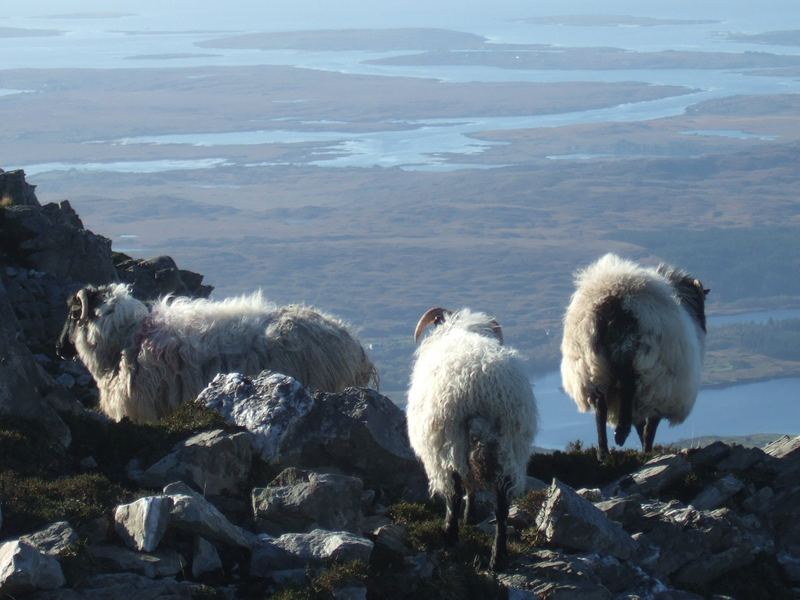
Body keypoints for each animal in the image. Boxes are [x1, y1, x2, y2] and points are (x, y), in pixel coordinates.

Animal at [406, 310, 536, 572]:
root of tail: (484, 387)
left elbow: (460, 489)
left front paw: (461, 521)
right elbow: (473, 488)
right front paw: (470, 516)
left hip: (452, 439)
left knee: (454, 489)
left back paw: (450, 535)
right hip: (510, 446)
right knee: (502, 502)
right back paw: (498, 557)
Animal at [560, 253, 708, 460]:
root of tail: (614, 298)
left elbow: (640, 424)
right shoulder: (659, 395)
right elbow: (649, 429)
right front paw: (647, 451)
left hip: (591, 365)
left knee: (600, 406)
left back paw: (604, 452)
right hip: (638, 359)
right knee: (627, 386)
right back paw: (621, 432)